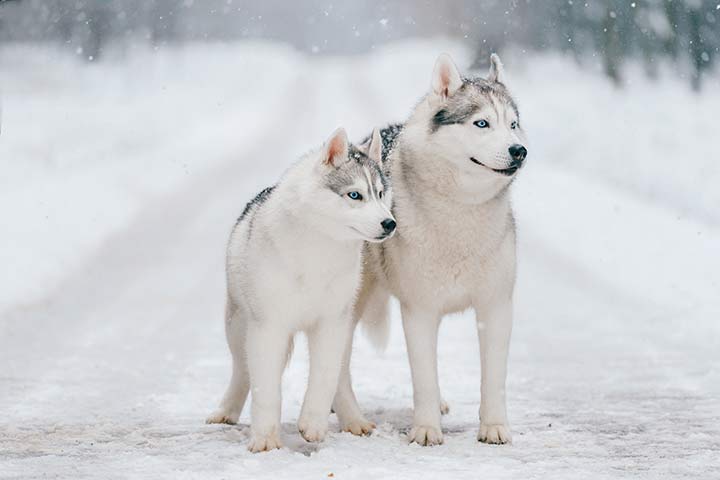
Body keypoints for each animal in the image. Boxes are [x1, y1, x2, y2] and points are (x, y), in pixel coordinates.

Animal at [205, 126, 396, 450]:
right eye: (355, 195)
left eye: (380, 193)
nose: (389, 223)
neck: (319, 249)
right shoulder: (268, 327)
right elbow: (265, 389)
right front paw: (265, 440)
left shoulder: (330, 323)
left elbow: (324, 378)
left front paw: (313, 425)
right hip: (238, 327)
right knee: (243, 371)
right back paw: (226, 411)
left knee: (339, 377)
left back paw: (353, 420)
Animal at [334, 53, 528, 446]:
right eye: (482, 123)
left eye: (513, 124)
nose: (519, 150)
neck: (460, 212)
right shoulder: (419, 311)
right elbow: (424, 376)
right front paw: (425, 430)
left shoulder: (496, 307)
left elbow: (494, 379)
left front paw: (494, 427)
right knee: (340, 364)